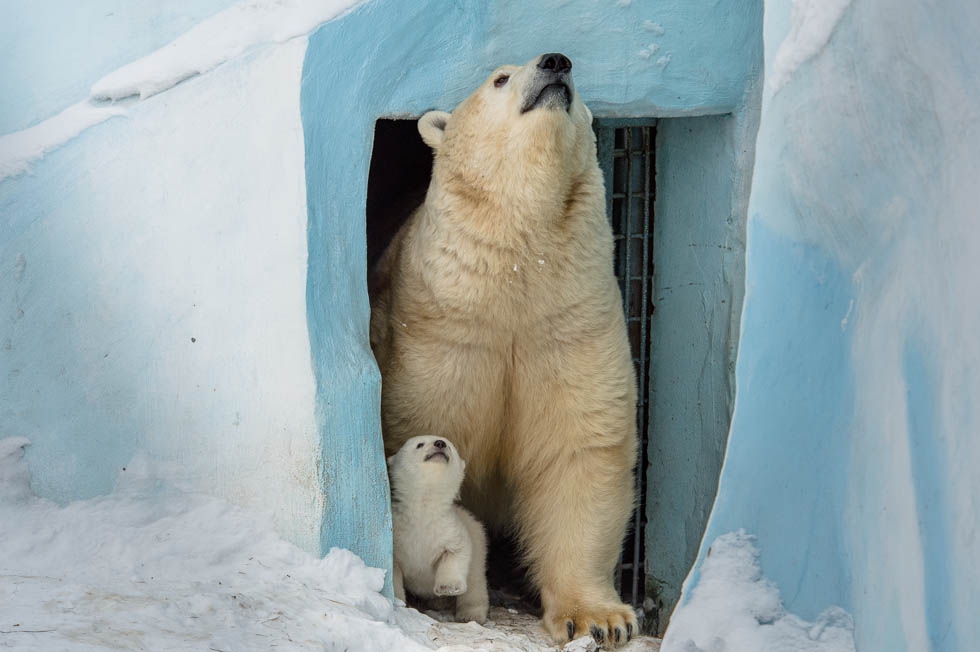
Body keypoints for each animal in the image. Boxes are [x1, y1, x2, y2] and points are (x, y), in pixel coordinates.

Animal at [372, 53, 640, 644]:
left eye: (578, 86)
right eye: (499, 78)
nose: (556, 62)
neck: (513, 284)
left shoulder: (568, 325)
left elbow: (577, 450)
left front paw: (600, 619)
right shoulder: (440, 338)